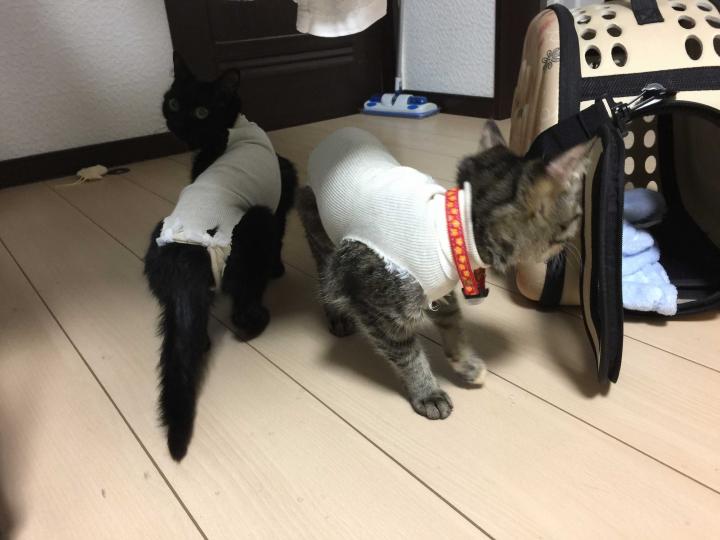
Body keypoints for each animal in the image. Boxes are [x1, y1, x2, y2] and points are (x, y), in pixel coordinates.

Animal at [144, 53, 297, 461]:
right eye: (175, 103)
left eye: (200, 110)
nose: (177, 122)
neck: (234, 127)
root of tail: (186, 256)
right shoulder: (283, 189)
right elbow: (281, 236)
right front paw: (279, 269)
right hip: (256, 224)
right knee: (244, 308)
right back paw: (258, 320)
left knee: (188, 333)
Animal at [298, 121, 588, 420]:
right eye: (578, 214)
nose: (576, 239)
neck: (452, 230)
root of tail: (334, 136)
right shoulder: (376, 309)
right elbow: (409, 355)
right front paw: (428, 393)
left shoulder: (438, 289)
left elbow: (454, 326)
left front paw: (466, 365)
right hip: (321, 238)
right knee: (323, 275)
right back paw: (336, 316)